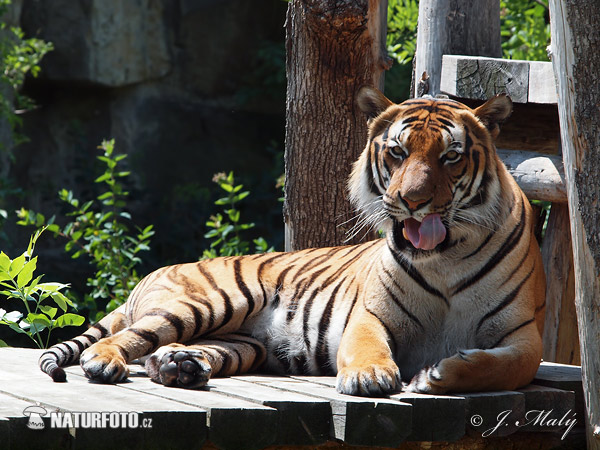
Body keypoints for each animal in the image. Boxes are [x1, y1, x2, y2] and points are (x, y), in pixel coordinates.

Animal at [36, 86, 544, 396]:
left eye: (450, 157)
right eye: (398, 153)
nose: (412, 201)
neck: (444, 257)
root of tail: (154, 273)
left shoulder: (524, 336)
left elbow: (504, 365)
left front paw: (438, 373)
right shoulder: (370, 315)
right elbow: (367, 346)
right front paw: (370, 375)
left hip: (242, 341)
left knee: (175, 350)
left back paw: (180, 367)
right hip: (211, 302)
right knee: (126, 337)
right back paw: (106, 363)